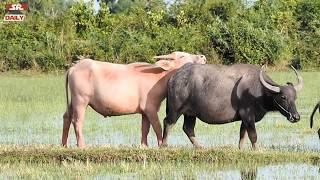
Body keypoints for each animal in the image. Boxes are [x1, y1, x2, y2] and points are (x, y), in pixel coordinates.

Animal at [162, 63, 302, 149]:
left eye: (295, 97)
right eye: (283, 97)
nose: (296, 117)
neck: (259, 92)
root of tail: (174, 77)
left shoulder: (244, 119)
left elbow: (242, 136)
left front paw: (241, 149)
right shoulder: (248, 116)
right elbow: (253, 135)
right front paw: (258, 150)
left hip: (190, 113)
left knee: (188, 128)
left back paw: (200, 147)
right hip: (175, 110)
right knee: (168, 122)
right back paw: (164, 145)